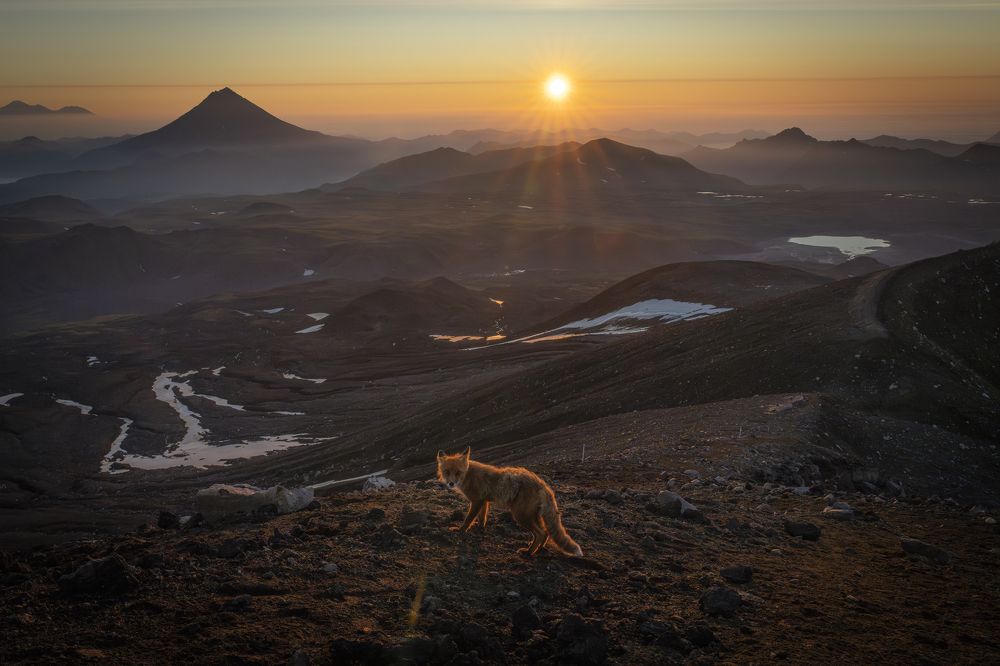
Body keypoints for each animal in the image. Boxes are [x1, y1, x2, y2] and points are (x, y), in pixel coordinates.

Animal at [436, 447, 582, 557]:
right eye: (447, 472)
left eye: (458, 473)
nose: (451, 483)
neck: (468, 475)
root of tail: (543, 484)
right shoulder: (484, 501)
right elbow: (482, 518)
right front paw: (480, 529)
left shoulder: (477, 501)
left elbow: (468, 519)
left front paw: (461, 530)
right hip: (533, 515)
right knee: (546, 532)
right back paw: (538, 549)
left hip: (521, 515)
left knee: (540, 533)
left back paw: (529, 553)